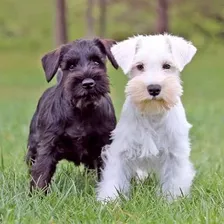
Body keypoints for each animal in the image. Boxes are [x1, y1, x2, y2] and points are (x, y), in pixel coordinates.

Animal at [26, 37, 118, 192]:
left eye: (96, 61)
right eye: (71, 66)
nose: (88, 83)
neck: (82, 111)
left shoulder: (105, 144)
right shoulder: (48, 145)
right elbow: (41, 171)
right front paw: (37, 194)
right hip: (32, 146)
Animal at [97, 33, 197, 203]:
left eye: (167, 66)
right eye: (139, 66)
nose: (154, 88)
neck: (152, 113)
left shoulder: (175, 153)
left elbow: (174, 180)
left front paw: (172, 201)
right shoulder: (121, 149)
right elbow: (114, 177)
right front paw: (109, 201)